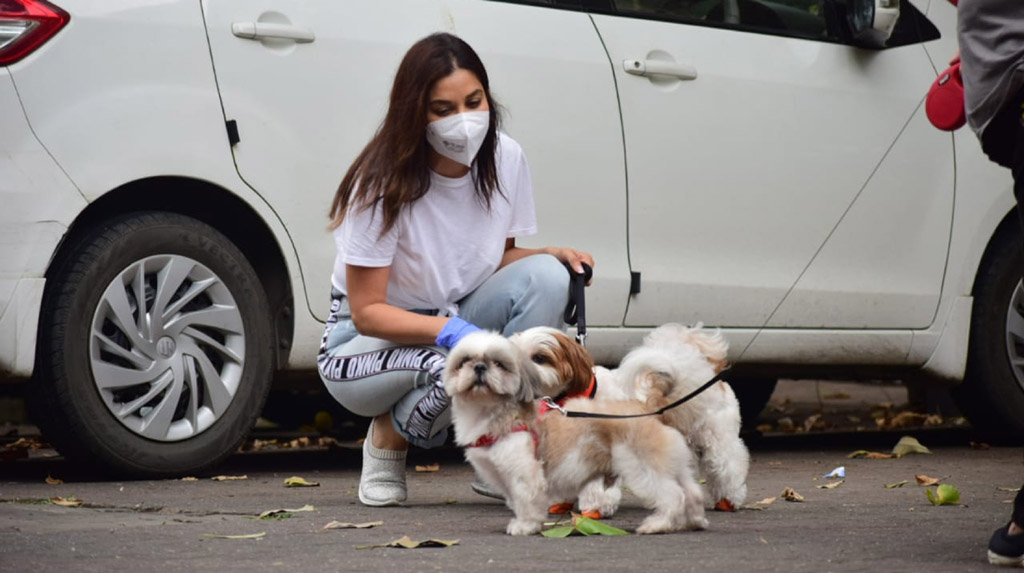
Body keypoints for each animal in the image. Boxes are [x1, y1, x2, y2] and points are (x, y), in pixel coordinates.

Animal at [444, 329, 708, 536]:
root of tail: (647, 406)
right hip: (672, 464)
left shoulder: (524, 473)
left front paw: (525, 526)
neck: (492, 414)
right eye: (464, 360)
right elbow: (519, 501)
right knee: (692, 492)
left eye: (499, 363)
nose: (480, 367)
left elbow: (527, 501)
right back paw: (694, 521)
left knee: (673, 496)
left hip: (643, 467)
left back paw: (658, 524)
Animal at [516, 325, 749, 517]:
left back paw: (729, 498)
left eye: (539, 358)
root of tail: (707, 368)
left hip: (715, 436)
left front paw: (595, 507)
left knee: (728, 463)